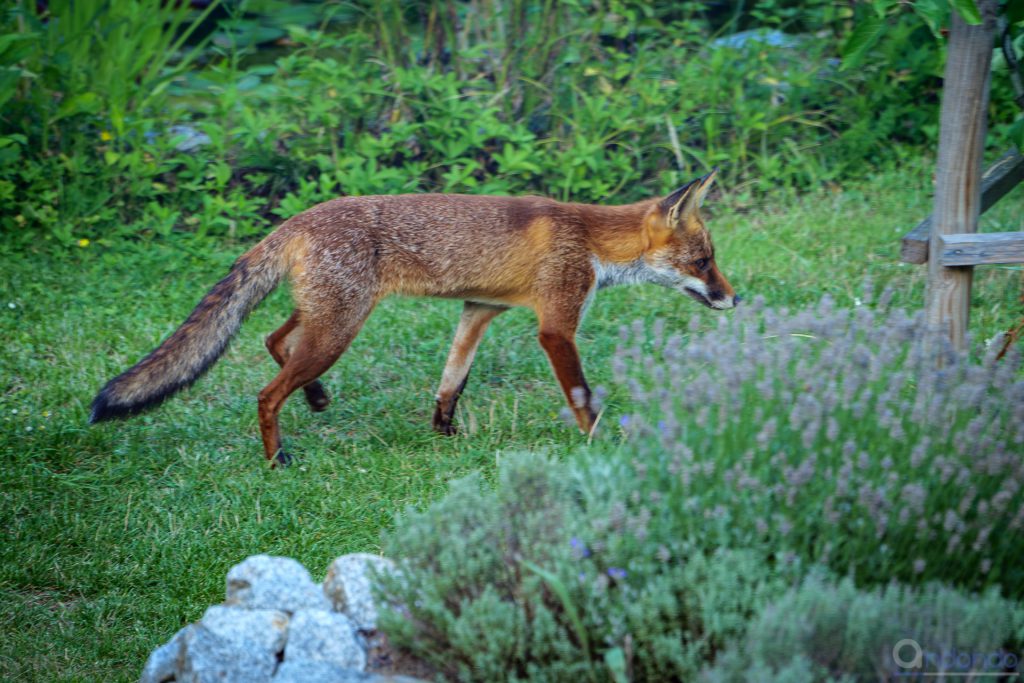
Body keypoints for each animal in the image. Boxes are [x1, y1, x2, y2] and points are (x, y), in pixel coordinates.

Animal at [90, 169, 737, 464]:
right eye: (704, 262)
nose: (735, 300)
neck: (591, 238)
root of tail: (297, 218)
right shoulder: (556, 324)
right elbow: (582, 395)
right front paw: (606, 446)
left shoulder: (480, 309)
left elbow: (452, 380)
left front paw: (444, 432)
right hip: (340, 326)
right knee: (267, 392)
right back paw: (277, 457)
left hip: (326, 318)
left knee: (275, 340)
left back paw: (317, 398)